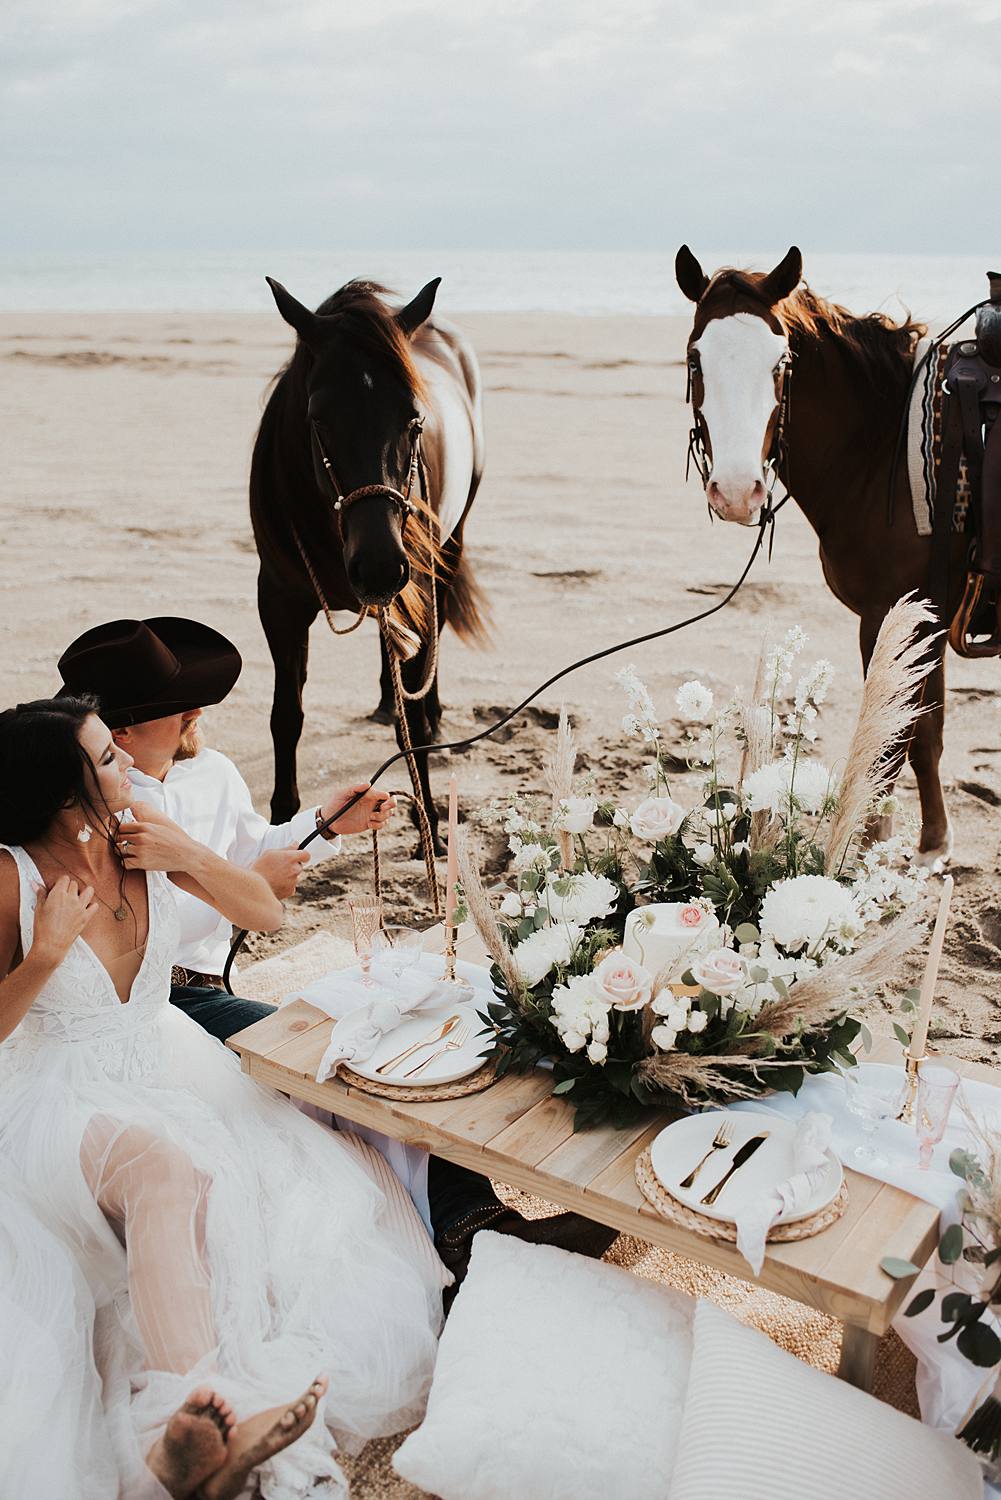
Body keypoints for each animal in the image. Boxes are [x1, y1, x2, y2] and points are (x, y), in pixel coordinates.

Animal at [249, 279, 486, 846]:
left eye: (415, 417)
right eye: (318, 417)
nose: (378, 565)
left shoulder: (412, 579)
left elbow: (414, 723)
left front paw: (430, 827)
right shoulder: (278, 601)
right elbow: (286, 715)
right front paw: (281, 820)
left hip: (449, 544)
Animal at [672, 246, 972, 870]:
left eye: (780, 362)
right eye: (695, 360)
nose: (735, 491)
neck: (883, 451)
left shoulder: (893, 615)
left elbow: (899, 742)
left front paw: (873, 847)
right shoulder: (921, 614)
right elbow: (924, 733)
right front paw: (926, 842)